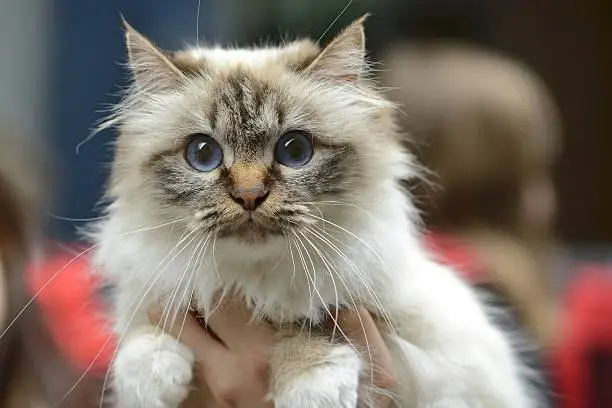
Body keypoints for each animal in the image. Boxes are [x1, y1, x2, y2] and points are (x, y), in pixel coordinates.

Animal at [89, 14, 536, 406]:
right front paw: (151, 375)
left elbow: (314, 320)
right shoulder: (165, 289)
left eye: (294, 150)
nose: (249, 196)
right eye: (203, 154)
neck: (252, 284)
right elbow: (145, 330)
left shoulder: (446, 355)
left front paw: (310, 384)